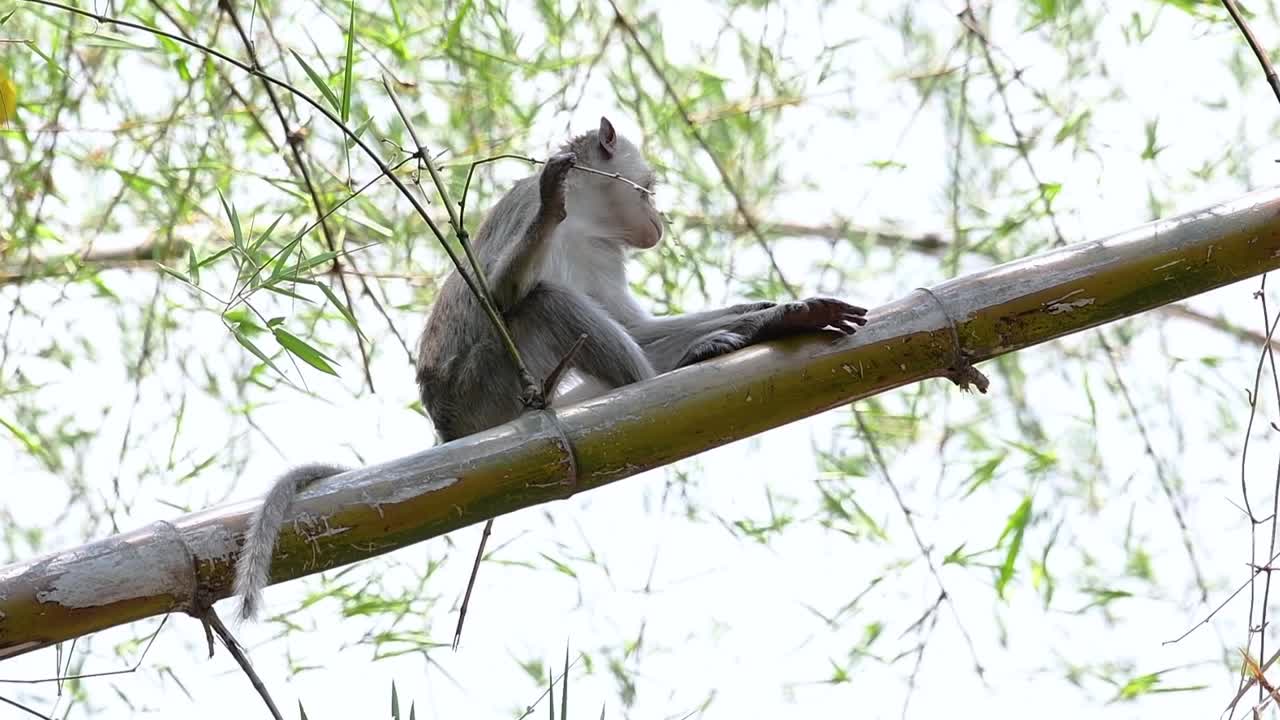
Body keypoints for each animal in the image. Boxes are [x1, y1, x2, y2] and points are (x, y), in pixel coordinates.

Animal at [230, 116, 868, 623]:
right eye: (649, 189)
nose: (659, 219)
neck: (587, 221)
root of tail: (447, 429)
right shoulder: (525, 209)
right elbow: (498, 293)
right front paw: (551, 202)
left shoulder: (603, 250)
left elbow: (637, 329)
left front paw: (780, 315)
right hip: (486, 389)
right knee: (542, 302)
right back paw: (656, 380)